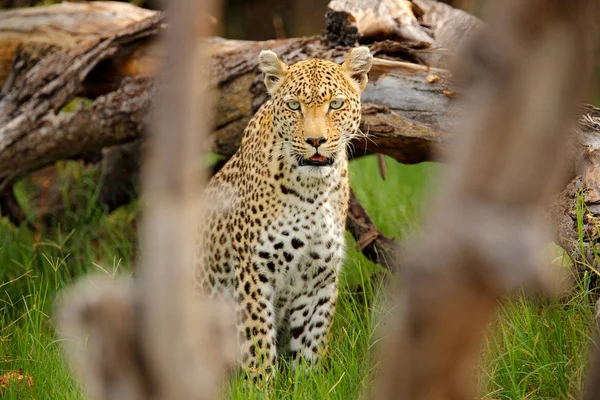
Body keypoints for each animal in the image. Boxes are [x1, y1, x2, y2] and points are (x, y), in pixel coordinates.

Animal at [197, 46, 372, 376]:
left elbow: (311, 341)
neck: (313, 191)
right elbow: (258, 342)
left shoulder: (320, 276)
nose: (315, 141)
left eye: (335, 104)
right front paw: (261, 382)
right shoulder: (255, 271)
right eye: (293, 105)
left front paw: (307, 379)